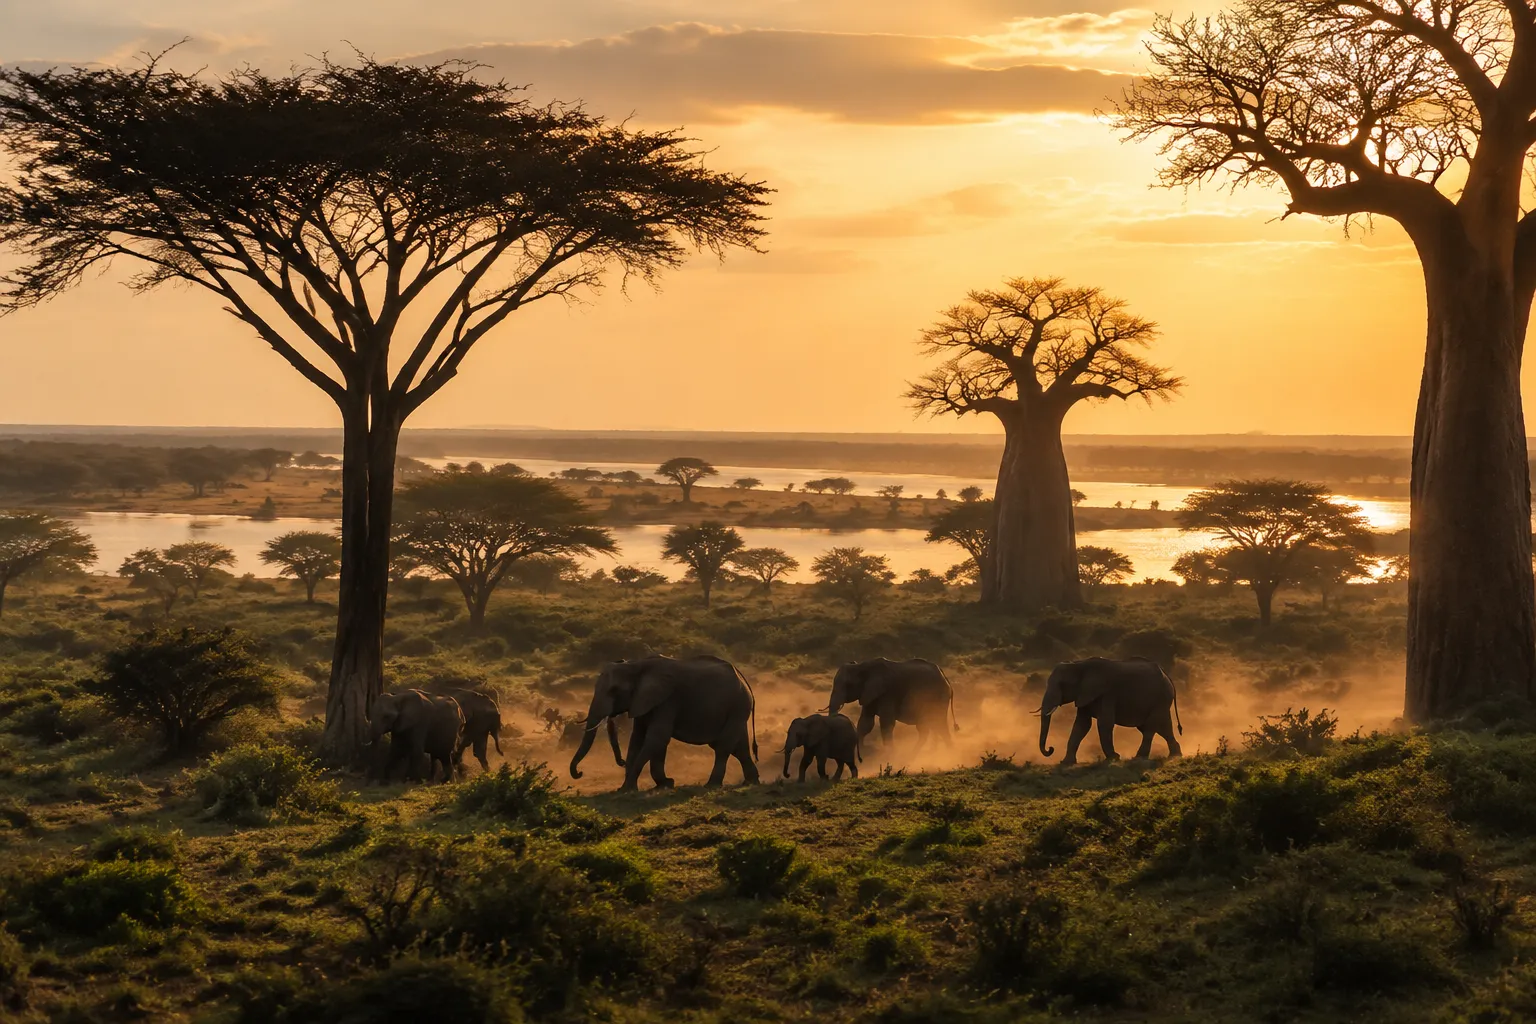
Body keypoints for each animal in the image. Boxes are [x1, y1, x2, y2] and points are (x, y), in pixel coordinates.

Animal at [569, 655, 760, 791]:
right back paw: (751, 782)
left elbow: (657, 738)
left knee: (723, 747)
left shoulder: (667, 701)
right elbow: (638, 739)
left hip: (737, 706)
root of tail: (743, 679)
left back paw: (711, 785)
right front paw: (665, 784)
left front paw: (626, 789)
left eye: (614, 690)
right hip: (737, 710)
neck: (636, 665)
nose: (580, 773)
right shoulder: (643, 702)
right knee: (738, 748)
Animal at [827, 658, 959, 752]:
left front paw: (889, 754)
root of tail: (946, 678)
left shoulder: (887, 693)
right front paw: (862, 751)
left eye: (847, 685)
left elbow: (886, 722)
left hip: (937, 698)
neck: (862, 667)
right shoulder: (869, 694)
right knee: (932, 726)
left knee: (935, 725)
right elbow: (866, 722)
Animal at [1037, 657, 1183, 766]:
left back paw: (1139, 758)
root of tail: (1168, 677)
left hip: (1160, 698)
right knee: (1161, 727)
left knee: (1151, 727)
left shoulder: (1106, 693)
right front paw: (1066, 763)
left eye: (1062, 684)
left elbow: (1104, 723)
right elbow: (1082, 725)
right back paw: (1175, 756)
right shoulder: (1084, 694)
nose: (1051, 749)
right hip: (1161, 700)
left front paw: (1114, 758)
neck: (1080, 665)